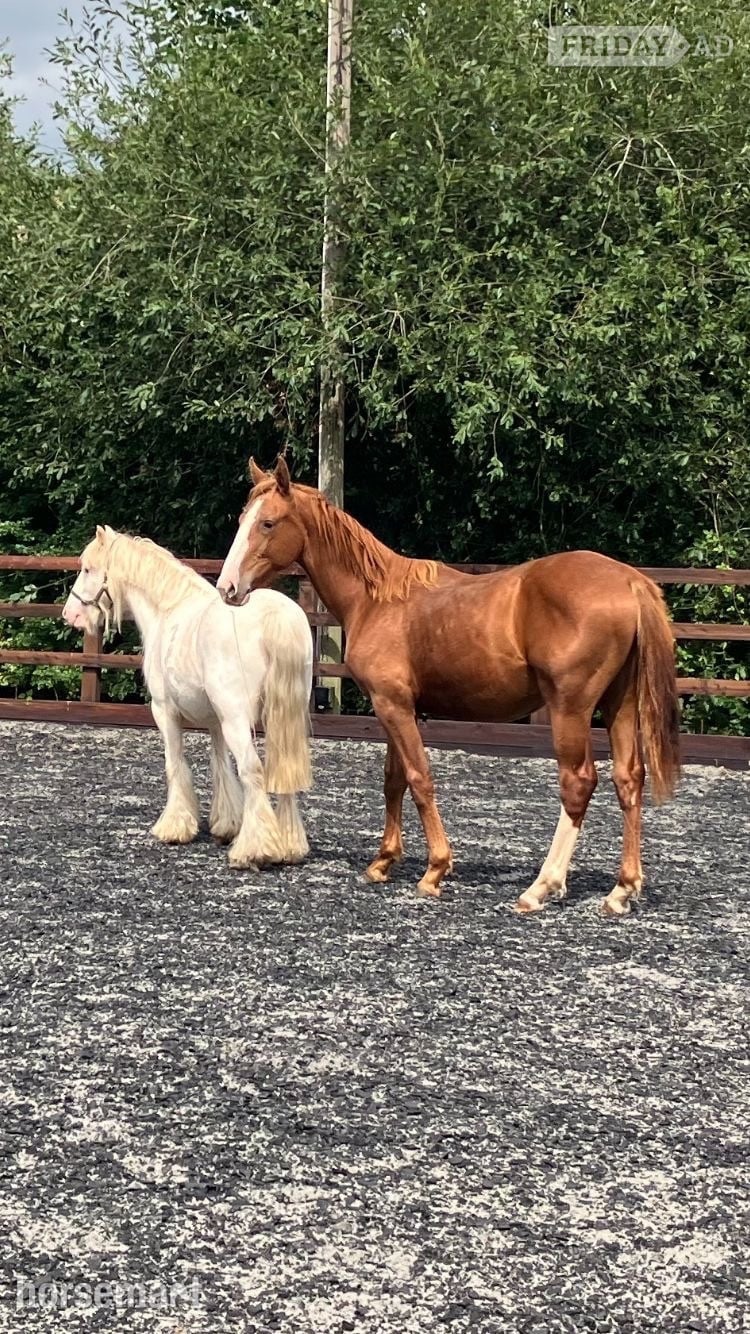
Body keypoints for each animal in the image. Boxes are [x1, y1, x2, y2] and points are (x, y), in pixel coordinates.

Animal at [63, 525, 312, 868]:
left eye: (88, 569)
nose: (69, 614)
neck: (168, 610)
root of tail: (275, 614)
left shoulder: (164, 712)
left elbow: (176, 764)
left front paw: (174, 828)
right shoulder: (215, 721)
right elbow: (220, 765)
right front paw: (226, 825)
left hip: (238, 721)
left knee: (253, 771)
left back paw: (254, 850)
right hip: (283, 718)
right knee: (284, 772)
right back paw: (288, 847)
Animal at [217, 457, 680, 916]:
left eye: (268, 523)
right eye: (243, 519)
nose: (227, 588)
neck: (376, 600)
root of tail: (628, 581)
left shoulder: (393, 706)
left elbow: (419, 778)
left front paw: (435, 870)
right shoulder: (395, 707)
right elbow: (394, 780)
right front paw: (383, 862)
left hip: (571, 708)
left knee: (578, 783)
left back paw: (541, 887)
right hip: (620, 705)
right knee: (628, 779)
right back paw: (621, 890)